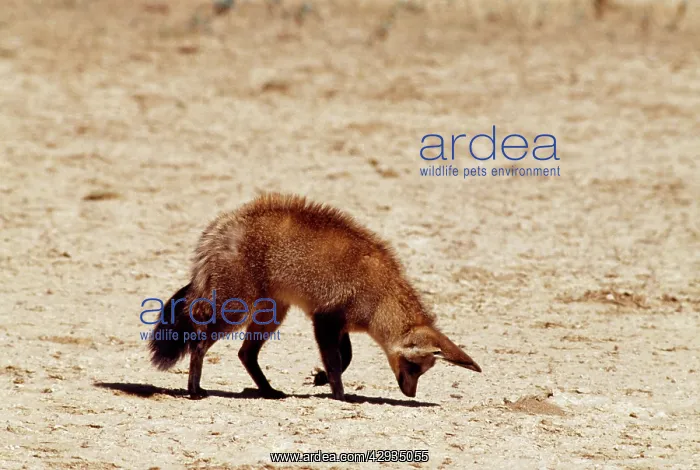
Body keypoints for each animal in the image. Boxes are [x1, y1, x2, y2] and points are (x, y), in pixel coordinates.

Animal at [149, 193, 481, 400]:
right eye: (414, 368)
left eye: (424, 371)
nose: (410, 394)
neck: (381, 296)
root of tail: (224, 224)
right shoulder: (324, 320)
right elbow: (336, 362)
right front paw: (340, 395)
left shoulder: (338, 325)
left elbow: (346, 358)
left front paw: (321, 379)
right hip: (235, 311)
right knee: (199, 341)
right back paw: (195, 389)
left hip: (271, 315)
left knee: (245, 354)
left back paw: (268, 391)